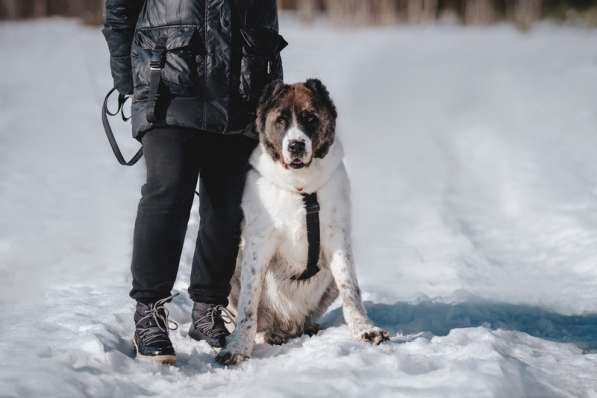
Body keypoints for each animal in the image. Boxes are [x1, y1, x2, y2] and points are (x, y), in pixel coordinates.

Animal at [217, 79, 388, 366]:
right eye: (281, 120)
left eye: (310, 118)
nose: (296, 145)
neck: (301, 188)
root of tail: (289, 324)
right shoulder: (258, 243)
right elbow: (249, 303)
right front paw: (238, 347)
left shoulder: (337, 238)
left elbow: (351, 290)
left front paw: (365, 330)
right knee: (260, 317)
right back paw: (270, 334)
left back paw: (307, 327)